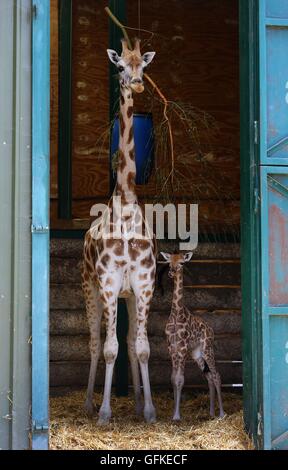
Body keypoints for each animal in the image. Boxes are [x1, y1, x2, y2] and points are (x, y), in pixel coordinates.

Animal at [160, 252, 225, 420]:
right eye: (169, 262)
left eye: (182, 262)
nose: (171, 272)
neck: (176, 314)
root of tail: (211, 330)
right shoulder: (172, 348)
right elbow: (173, 379)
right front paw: (173, 414)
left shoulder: (182, 348)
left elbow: (180, 380)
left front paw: (177, 416)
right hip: (197, 354)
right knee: (209, 377)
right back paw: (211, 413)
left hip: (207, 349)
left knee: (216, 375)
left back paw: (222, 413)